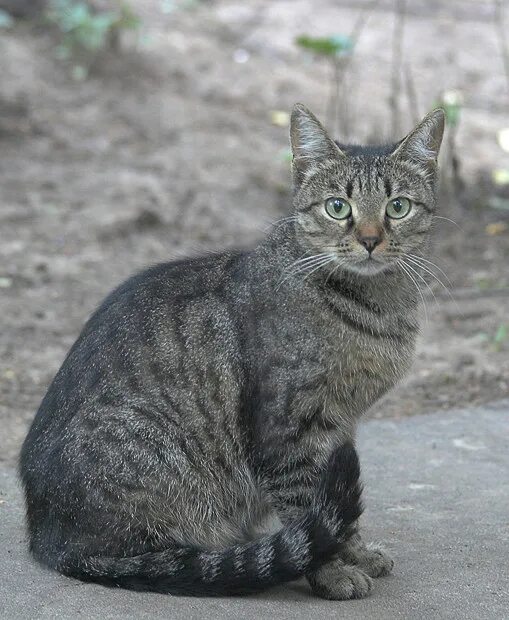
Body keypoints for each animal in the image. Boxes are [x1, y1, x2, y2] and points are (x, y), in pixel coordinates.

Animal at [18, 104, 440, 600]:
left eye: (398, 207)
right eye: (338, 207)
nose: (371, 239)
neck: (378, 307)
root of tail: (48, 538)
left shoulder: (341, 428)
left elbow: (338, 507)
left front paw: (356, 552)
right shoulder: (290, 426)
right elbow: (306, 503)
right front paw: (332, 571)